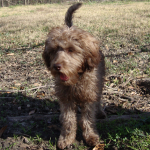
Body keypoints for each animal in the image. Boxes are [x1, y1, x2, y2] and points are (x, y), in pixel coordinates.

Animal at [41, 2, 106, 149]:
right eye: (53, 50)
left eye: (71, 49)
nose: (57, 67)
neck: (76, 80)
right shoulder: (66, 98)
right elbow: (69, 120)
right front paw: (66, 139)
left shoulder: (89, 95)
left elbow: (87, 118)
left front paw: (91, 136)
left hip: (99, 84)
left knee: (98, 98)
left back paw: (99, 111)